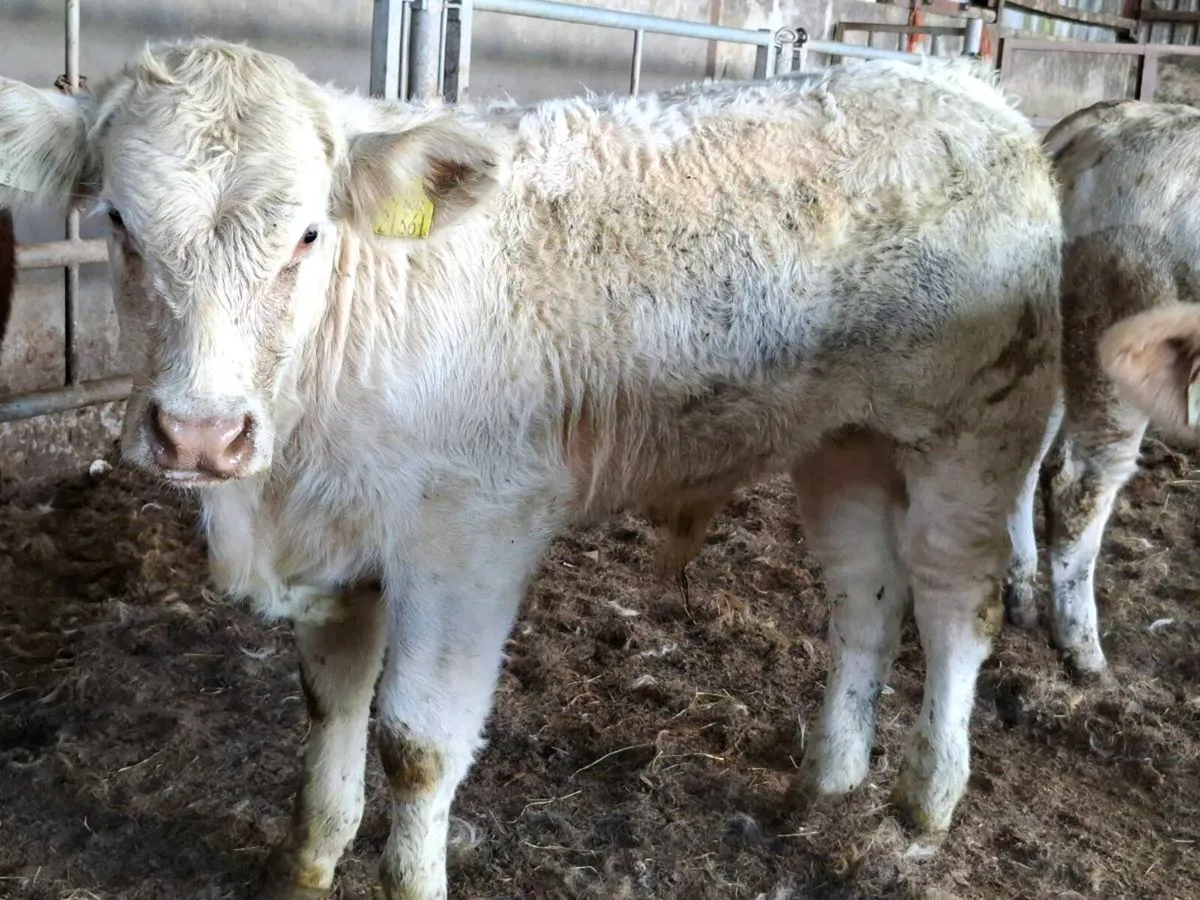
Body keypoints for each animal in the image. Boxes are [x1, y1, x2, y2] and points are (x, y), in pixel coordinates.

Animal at [0, 41, 1062, 899]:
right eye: (119, 221)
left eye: (306, 232)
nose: (200, 434)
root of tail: (964, 86)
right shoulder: (341, 550)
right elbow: (329, 707)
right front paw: (309, 862)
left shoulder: (470, 540)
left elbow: (416, 744)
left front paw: (412, 876)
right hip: (843, 442)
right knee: (863, 597)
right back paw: (825, 785)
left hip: (976, 436)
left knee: (956, 607)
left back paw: (925, 804)